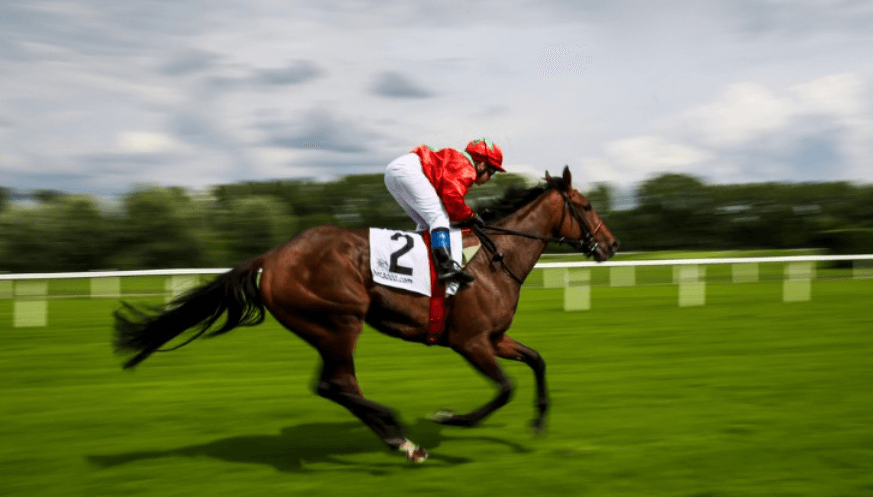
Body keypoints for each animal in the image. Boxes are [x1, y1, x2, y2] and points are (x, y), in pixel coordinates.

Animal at [114, 166, 619, 463]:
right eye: (587, 205)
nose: (612, 245)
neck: (496, 259)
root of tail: (271, 258)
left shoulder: (494, 338)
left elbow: (536, 360)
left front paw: (538, 422)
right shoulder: (471, 342)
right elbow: (505, 388)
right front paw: (449, 418)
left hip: (326, 329)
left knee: (338, 386)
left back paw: (399, 439)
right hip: (339, 321)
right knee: (334, 384)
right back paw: (400, 432)